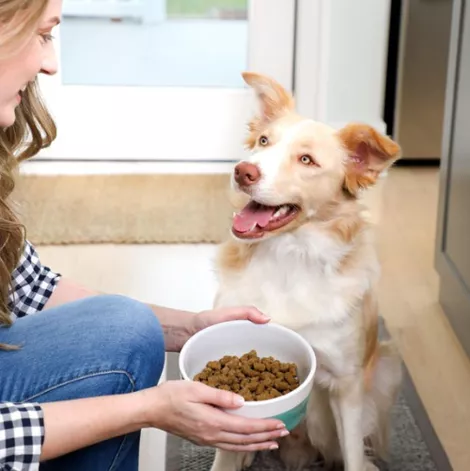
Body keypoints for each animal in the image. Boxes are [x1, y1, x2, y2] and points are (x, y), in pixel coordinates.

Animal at [211, 71, 402, 471]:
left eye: (306, 160)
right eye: (264, 141)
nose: (243, 171)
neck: (288, 258)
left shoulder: (346, 384)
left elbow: (353, 453)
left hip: (388, 368)